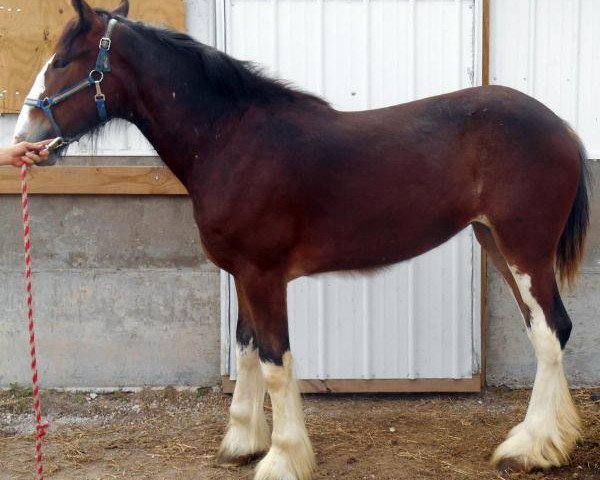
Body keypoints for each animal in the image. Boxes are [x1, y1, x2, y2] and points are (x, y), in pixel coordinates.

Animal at [15, 1, 592, 478]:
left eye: (63, 60)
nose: (23, 137)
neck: (232, 141)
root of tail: (562, 127)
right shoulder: (243, 275)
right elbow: (247, 351)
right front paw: (243, 443)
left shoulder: (264, 275)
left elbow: (275, 363)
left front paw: (282, 459)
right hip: (495, 242)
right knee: (549, 330)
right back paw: (552, 439)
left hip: (524, 249)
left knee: (549, 332)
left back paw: (531, 449)